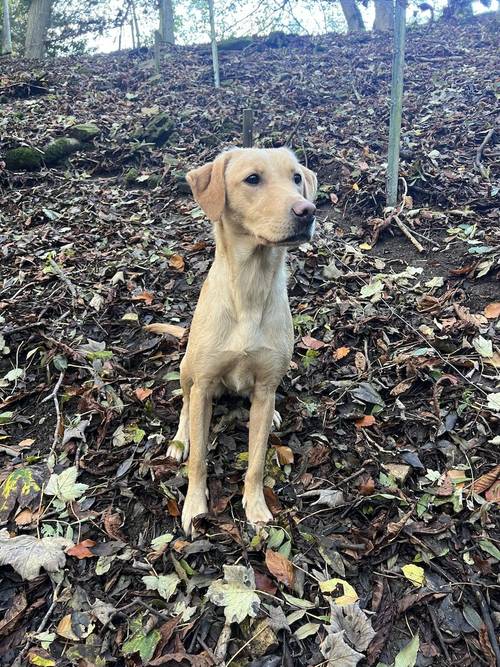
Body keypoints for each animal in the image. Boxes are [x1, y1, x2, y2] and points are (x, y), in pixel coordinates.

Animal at [167, 149, 316, 536]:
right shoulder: (204, 383)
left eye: (296, 178)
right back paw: (179, 439)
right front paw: (194, 507)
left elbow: (257, 459)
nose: (307, 210)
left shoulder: (264, 386)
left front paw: (256, 507)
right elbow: (199, 459)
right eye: (252, 179)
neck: (250, 287)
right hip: (187, 367)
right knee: (185, 405)